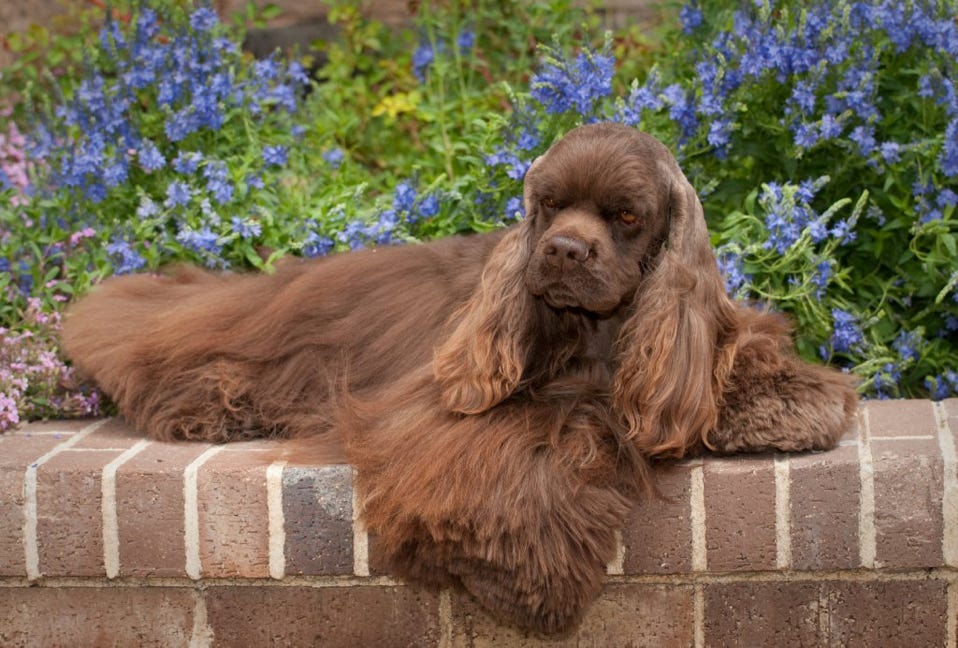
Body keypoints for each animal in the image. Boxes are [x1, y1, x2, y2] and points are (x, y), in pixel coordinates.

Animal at [63, 124, 860, 636]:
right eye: (548, 205)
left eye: (626, 214)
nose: (562, 249)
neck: (600, 336)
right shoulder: (437, 404)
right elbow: (524, 438)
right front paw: (517, 566)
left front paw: (787, 404)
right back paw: (209, 403)